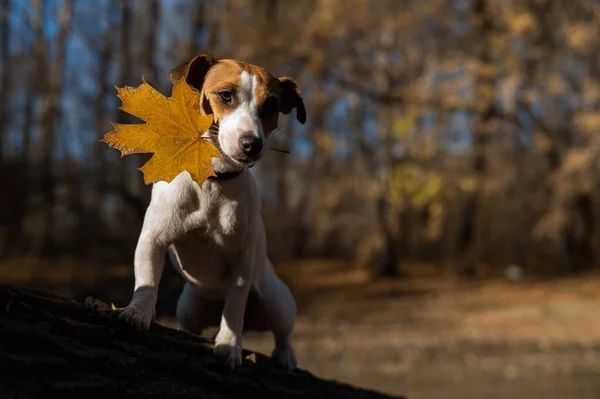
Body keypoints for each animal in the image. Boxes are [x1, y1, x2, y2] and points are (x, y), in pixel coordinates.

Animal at [116, 54, 304, 372]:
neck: (212, 178)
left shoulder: (242, 262)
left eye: (270, 106)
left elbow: (235, 307)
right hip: (188, 309)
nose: (252, 144)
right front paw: (138, 311)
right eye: (225, 95)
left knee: (281, 330)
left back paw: (286, 354)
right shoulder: (153, 239)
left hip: (277, 301)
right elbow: (147, 281)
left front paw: (229, 345)